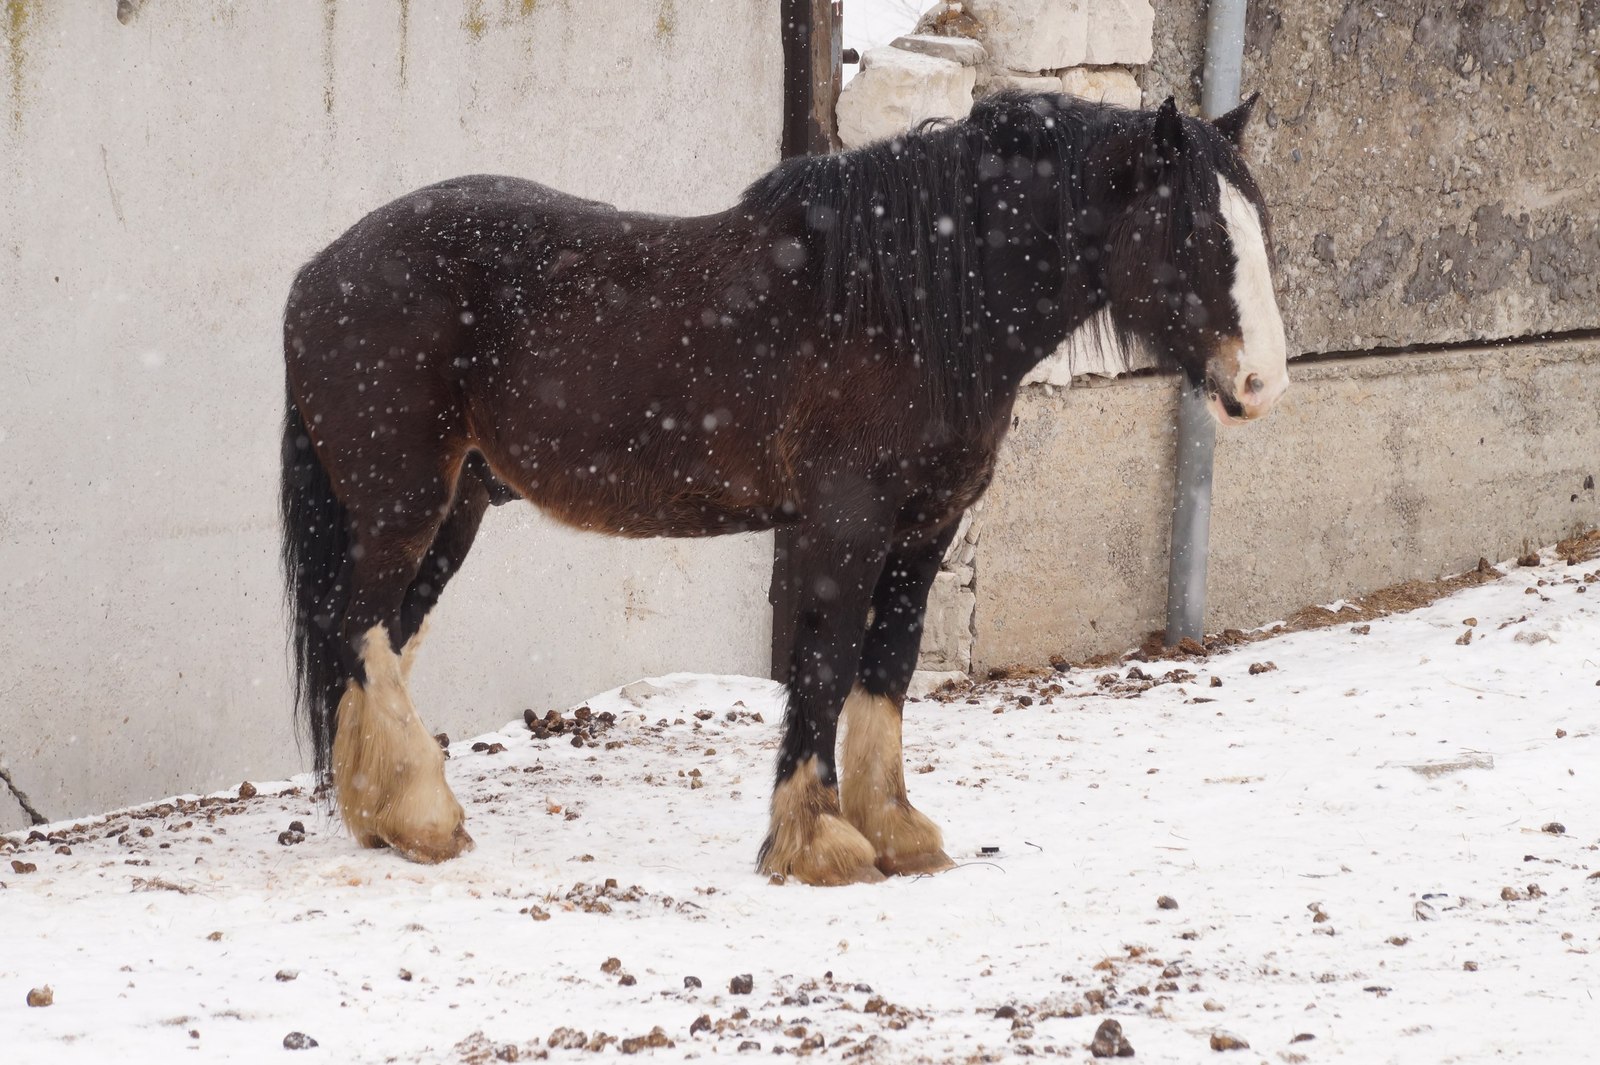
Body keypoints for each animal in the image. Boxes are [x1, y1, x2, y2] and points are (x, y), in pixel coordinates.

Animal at [284, 93, 1286, 876]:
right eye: (1198, 231)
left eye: (1258, 223)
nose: (1262, 383)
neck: (910, 303)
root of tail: (319, 270)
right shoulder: (845, 524)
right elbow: (824, 664)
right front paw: (818, 842)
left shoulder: (926, 530)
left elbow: (886, 667)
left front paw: (896, 832)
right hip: (402, 504)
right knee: (356, 624)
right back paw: (424, 816)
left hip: (454, 511)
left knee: (379, 637)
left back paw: (380, 813)